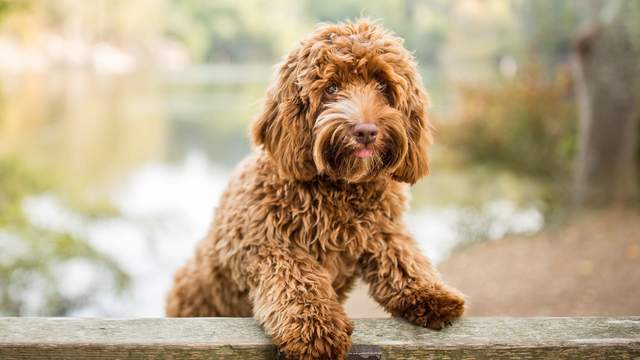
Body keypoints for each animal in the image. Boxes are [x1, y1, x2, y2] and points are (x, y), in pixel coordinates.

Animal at [166, 19, 464, 360]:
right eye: (332, 88)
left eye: (382, 86)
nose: (365, 131)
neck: (340, 189)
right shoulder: (264, 243)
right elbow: (298, 279)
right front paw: (315, 328)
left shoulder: (383, 229)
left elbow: (402, 256)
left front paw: (431, 292)